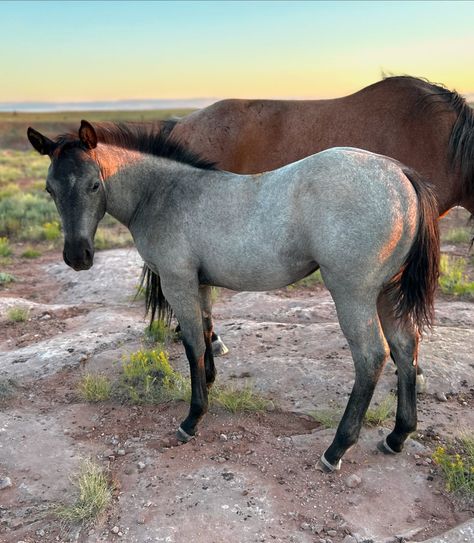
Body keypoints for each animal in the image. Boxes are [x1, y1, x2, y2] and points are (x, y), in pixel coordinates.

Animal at [27, 122, 438, 472]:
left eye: (94, 185)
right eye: (50, 189)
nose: (77, 256)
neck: (163, 194)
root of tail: (399, 173)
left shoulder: (177, 283)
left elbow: (192, 341)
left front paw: (193, 418)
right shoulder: (199, 283)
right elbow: (207, 328)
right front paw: (210, 379)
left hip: (353, 295)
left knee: (371, 357)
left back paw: (336, 449)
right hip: (387, 293)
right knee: (405, 347)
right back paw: (397, 436)